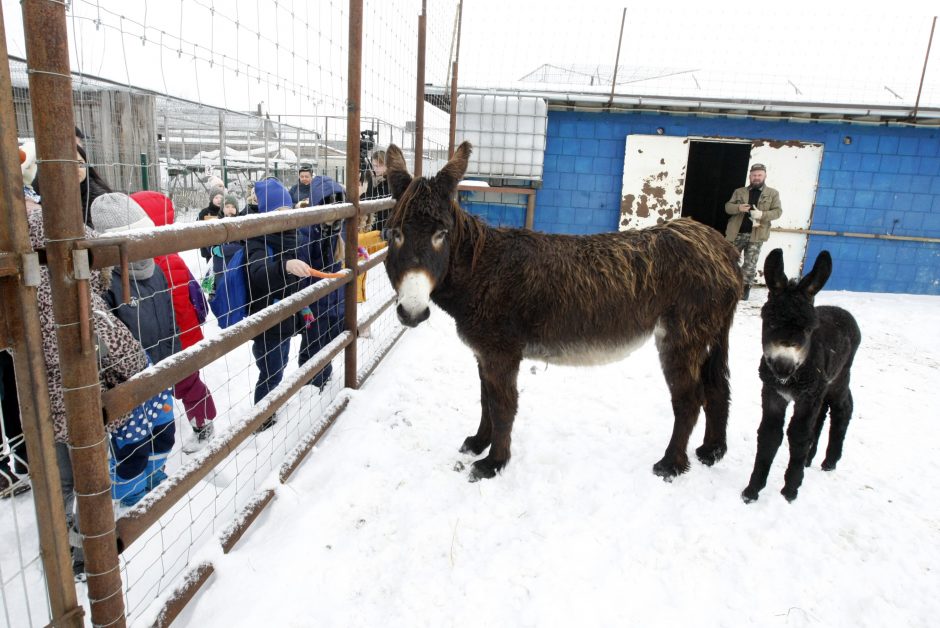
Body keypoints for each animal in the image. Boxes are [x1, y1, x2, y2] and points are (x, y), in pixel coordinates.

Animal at [740, 250, 860, 506]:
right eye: (770, 322)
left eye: (807, 329)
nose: (783, 368)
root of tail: (841, 310)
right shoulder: (773, 393)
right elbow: (769, 435)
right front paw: (752, 491)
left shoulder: (806, 397)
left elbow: (799, 436)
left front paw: (790, 491)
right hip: (822, 388)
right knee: (821, 415)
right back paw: (809, 460)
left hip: (838, 378)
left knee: (843, 407)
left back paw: (829, 462)